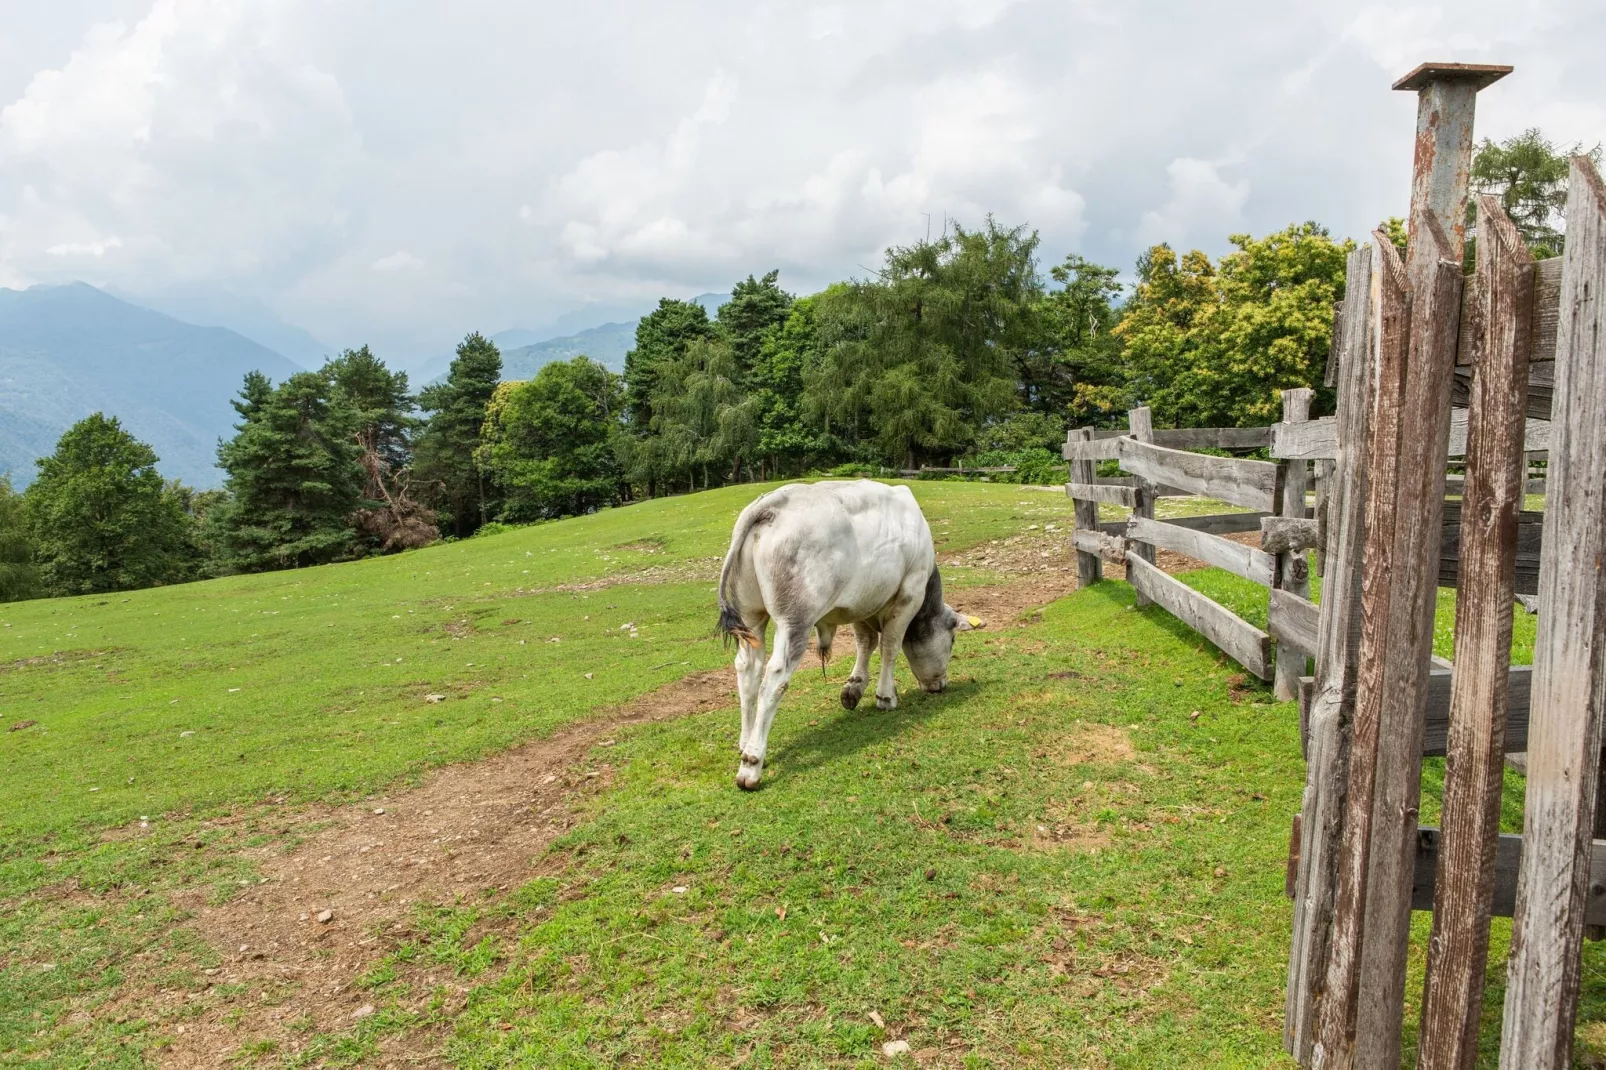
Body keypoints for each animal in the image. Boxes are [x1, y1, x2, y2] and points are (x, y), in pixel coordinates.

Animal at [719, 478, 970, 787]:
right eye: (952, 640)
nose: (940, 684)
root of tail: (773, 503)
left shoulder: (860, 603)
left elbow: (866, 642)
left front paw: (854, 687)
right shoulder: (909, 594)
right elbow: (889, 646)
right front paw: (885, 697)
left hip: (750, 617)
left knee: (748, 671)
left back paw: (745, 742)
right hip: (794, 620)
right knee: (774, 678)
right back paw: (752, 764)